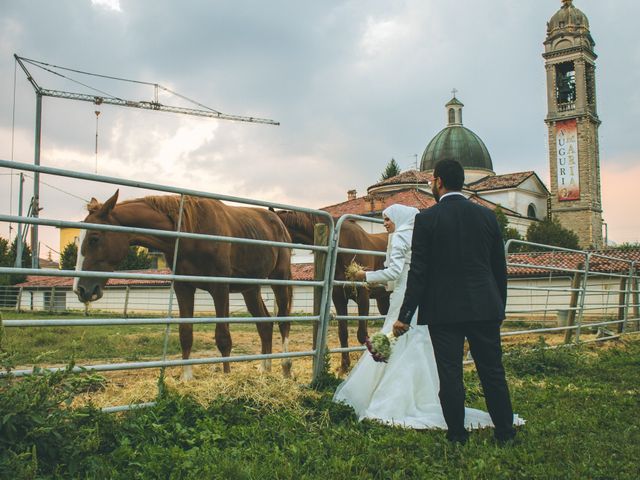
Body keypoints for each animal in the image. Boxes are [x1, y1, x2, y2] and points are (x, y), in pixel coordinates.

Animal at [74, 189, 292, 380]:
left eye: (94, 238)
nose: (81, 289)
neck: (191, 233)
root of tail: (278, 222)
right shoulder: (183, 288)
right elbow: (185, 333)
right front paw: (187, 378)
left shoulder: (220, 289)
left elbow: (223, 338)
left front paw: (226, 377)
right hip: (250, 288)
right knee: (265, 324)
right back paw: (265, 369)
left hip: (280, 279)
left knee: (283, 321)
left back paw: (286, 367)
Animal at [276, 210, 390, 372]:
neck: (343, 246)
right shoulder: (339, 297)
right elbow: (343, 333)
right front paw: (344, 366)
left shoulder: (363, 296)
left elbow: (362, 335)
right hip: (383, 299)